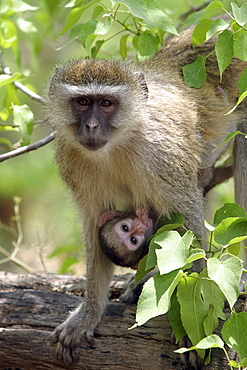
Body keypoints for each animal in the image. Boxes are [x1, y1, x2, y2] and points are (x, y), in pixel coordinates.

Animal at [47, 23, 247, 364]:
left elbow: (190, 225)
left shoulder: (165, 156)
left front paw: (193, 323)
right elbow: (95, 224)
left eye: (106, 104)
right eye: (83, 103)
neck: (121, 141)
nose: (90, 127)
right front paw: (88, 314)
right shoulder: (70, 160)